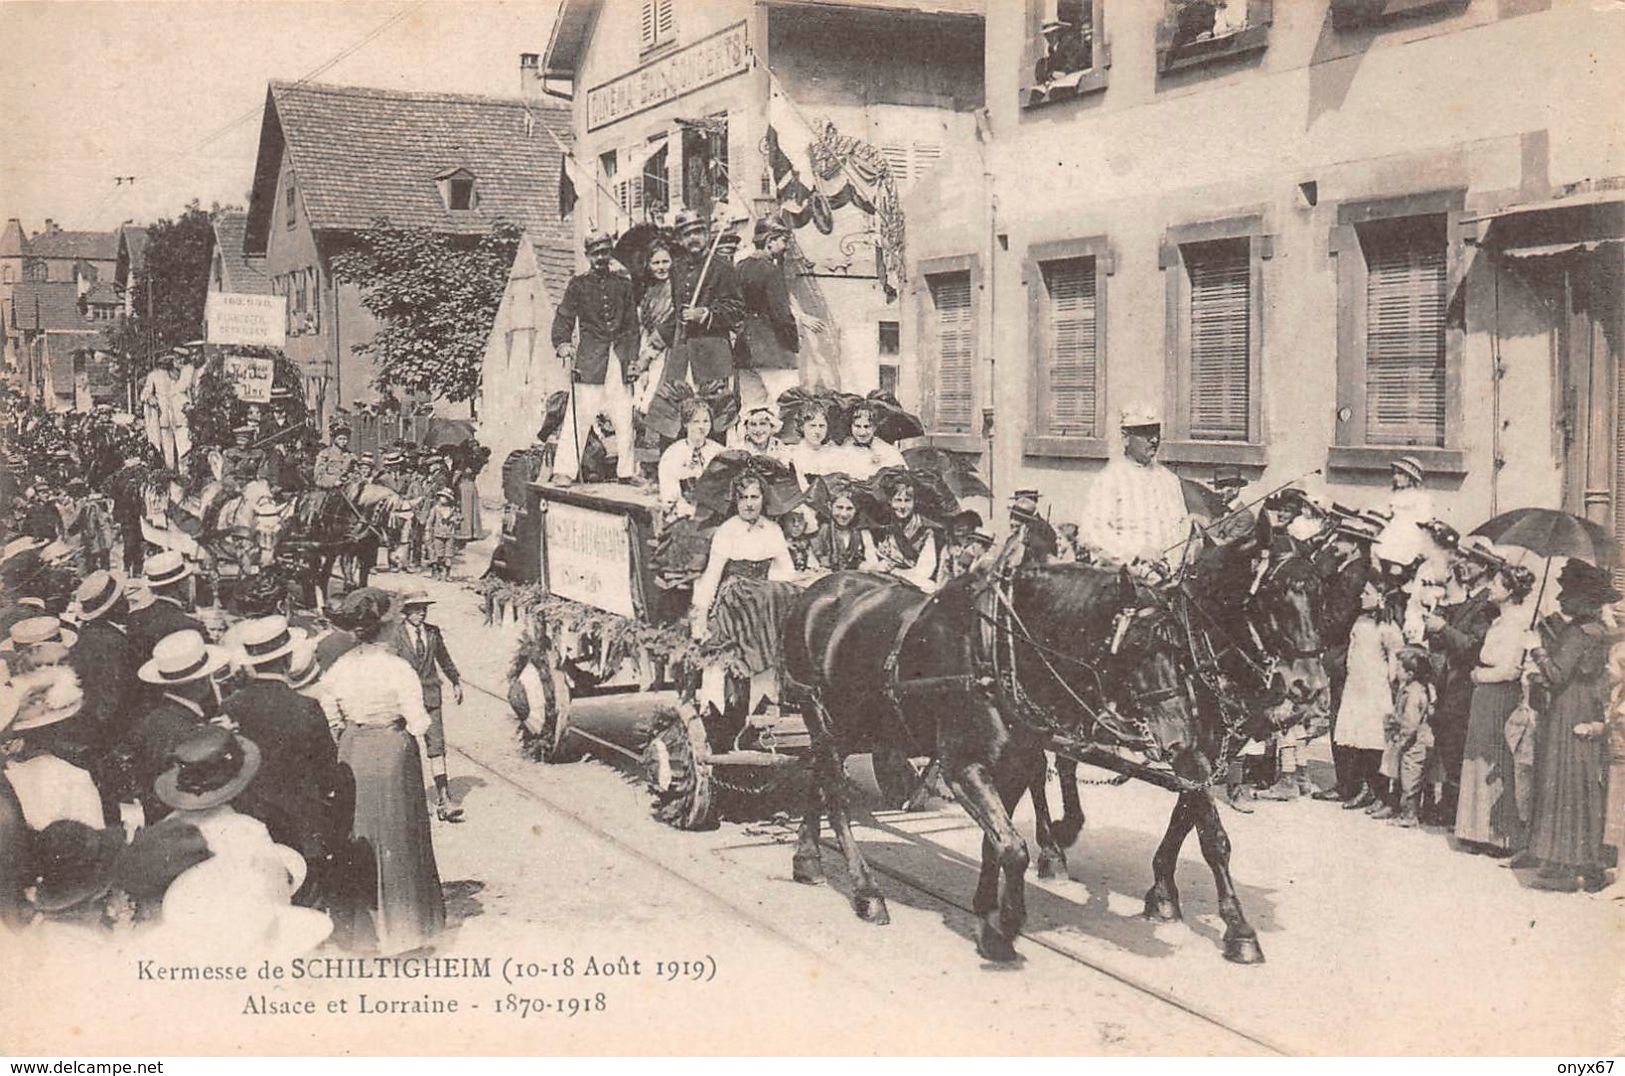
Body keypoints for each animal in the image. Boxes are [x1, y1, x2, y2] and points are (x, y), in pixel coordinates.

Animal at [780, 568, 1215, 962]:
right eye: (1137, 645)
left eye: (1181, 649)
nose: (1182, 737)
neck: (995, 655)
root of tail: (816, 590)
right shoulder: (962, 768)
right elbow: (1013, 848)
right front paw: (1005, 926)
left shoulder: (1014, 766)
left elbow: (996, 842)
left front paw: (986, 910)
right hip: (820, 713)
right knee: (836, 798)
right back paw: (866, 892)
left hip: (855, 726)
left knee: (818, 776)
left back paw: (807, 859)